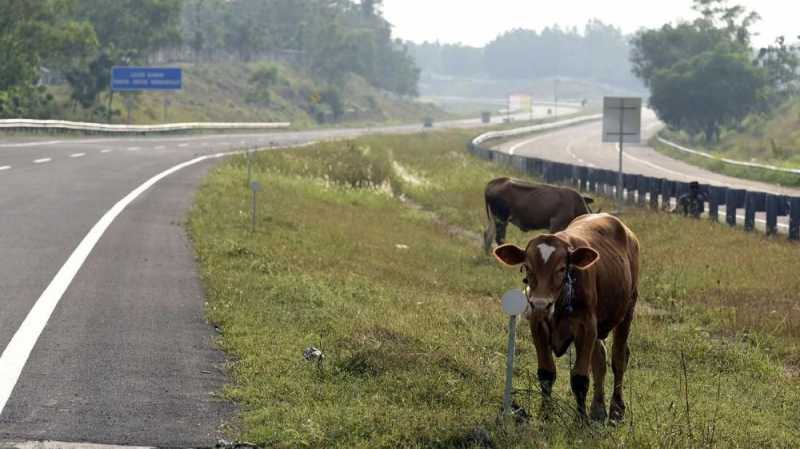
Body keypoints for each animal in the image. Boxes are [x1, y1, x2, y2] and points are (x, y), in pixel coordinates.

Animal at [490, 213, 640, 420]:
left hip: (627, 310)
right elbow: (546, 373)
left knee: (619, 358)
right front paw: (545, 414)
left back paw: (616, 410)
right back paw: (598, 409)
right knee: (600, 360)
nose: (540, 304)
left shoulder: (586, 327)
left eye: (561, 269)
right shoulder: (538, 325)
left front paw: (580, 419)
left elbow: (580, 378)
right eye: (527, 267)